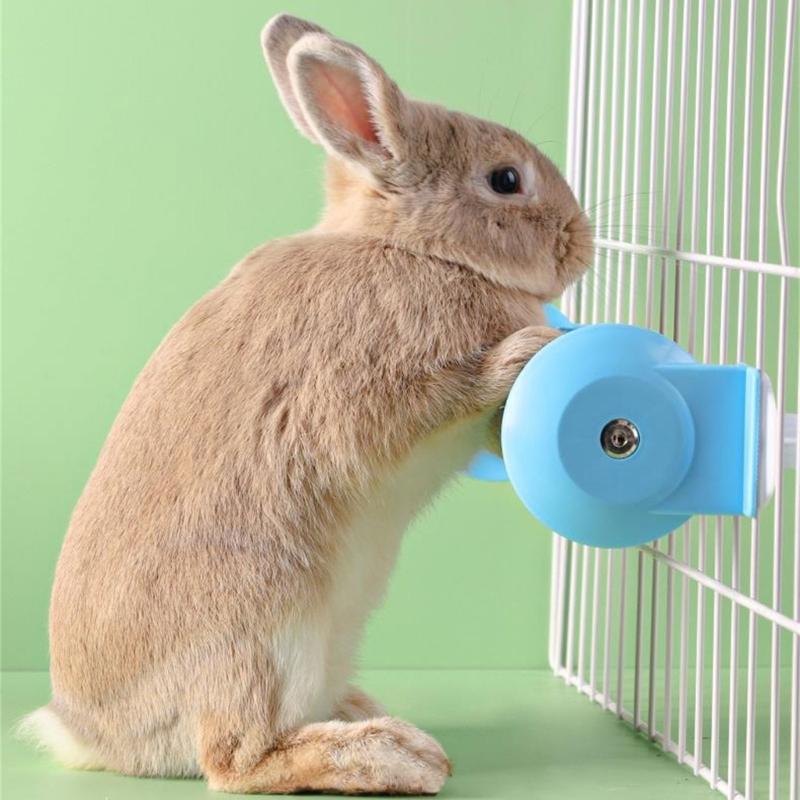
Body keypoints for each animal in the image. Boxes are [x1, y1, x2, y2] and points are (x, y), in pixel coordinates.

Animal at [18, 13, 593, 796]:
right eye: (506, 180)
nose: (583, 244)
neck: (415, 252)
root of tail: (91, 735)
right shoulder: (373, 389)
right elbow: (446, 391)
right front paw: (528, 349)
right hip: (256, 629)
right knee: (237, 761)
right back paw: (394, 755)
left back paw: (360, 713)